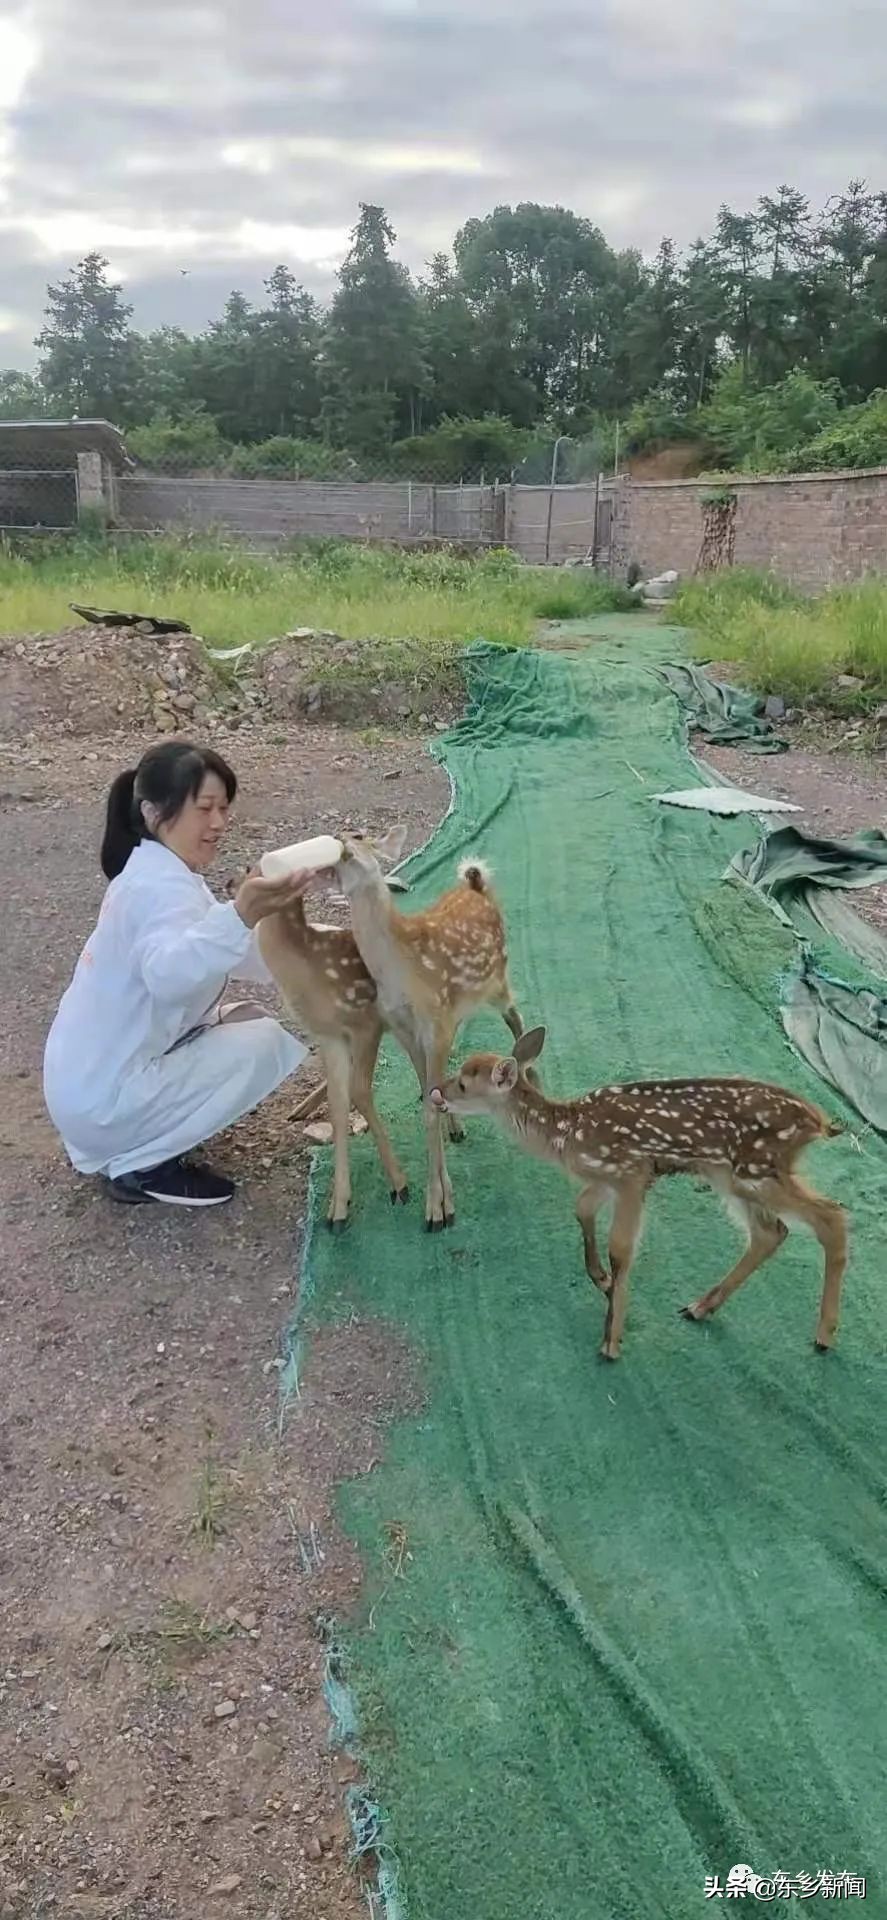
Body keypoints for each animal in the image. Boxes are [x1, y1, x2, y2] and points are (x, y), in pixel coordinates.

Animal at [334, 828, 531, 1231]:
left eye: (359, 835)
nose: (339, 841)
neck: (401, 970)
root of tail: (476, 886)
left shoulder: (433, 1025)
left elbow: (428, 1107)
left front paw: (437, 1209)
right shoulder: (407, 1029)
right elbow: (429, 1091)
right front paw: (442, 1198)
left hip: (497, 980)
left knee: (516, 1018)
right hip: (457, 1011)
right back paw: (457, 1126)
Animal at [430, 1028, 848, 1362]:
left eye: (464, 1084)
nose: (435, 1093)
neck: (568, 1135)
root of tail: (817, 1121)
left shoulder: (631, 1174)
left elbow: (620, 1248)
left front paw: (611, 1340)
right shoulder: (604, 1179)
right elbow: (581, 1209)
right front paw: (601, 1281)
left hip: (757, 1170)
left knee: (830, 1215)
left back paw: (824, 1335)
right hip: (731, 1175)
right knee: (771, 1232)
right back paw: (700, 1307)